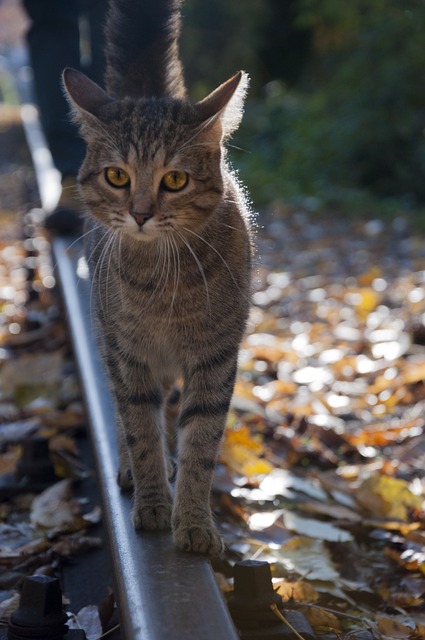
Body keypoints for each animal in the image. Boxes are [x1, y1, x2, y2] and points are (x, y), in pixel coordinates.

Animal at [63, 0, 252, 556]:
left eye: (175, 180)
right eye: (117, 176)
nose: (142, 213)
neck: (165, 281)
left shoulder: (216, 356)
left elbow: (201, 441)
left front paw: (192, 520)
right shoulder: (127, 354)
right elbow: (140, 428)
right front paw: (151, 503)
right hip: (106, 338)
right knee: (125, 411)